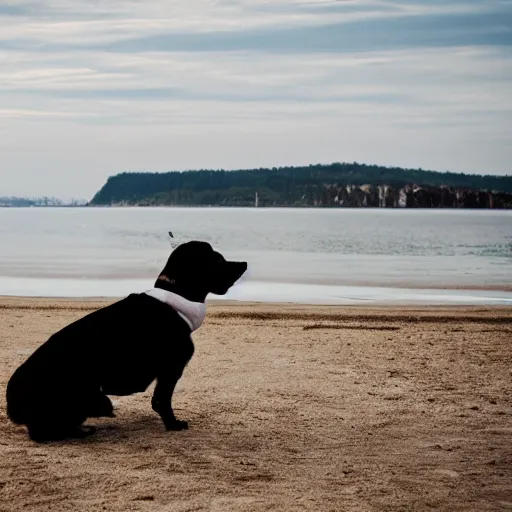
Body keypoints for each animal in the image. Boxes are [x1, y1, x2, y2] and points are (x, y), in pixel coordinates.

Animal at [6, 242, 246, 442]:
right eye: (218, 260)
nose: (243, 263)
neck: (176, 298)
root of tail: (13, 402)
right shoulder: (171, 369)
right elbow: (162, 402)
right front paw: (173, 425)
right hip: (83, 396)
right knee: (46, 431)